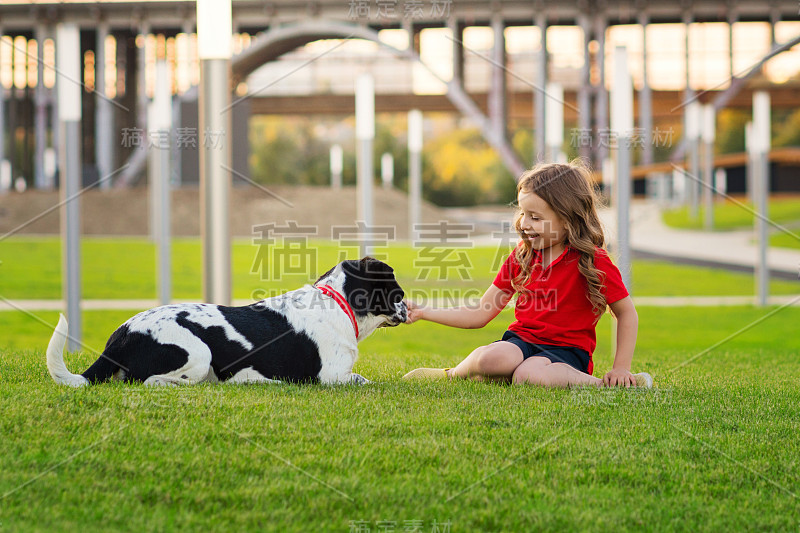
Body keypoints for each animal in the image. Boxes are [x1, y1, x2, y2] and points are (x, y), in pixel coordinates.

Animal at [46, 258, 406, 386]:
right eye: (397, 292)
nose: (407, 305)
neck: (337, 301)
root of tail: (120, 336)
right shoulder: (332, 377)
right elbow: (362, 379)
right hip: (197, 353)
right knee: (150, 382)